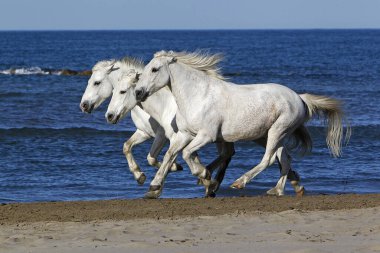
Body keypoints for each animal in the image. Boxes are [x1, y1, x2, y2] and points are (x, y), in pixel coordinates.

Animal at [79, 58, 183, 186]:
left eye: (96, 83)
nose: (83, 105)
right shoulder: (144, 133)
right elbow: (127, 147)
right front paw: (139, 175)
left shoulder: (162, 135)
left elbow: (152, 158)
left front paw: (174, 166)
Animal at [134, 50, 350, 199]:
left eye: (154, 69)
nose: (138, 92)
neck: (198, 96)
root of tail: (300, 98)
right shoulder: (184, 134)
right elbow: (170, 155)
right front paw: (153, 188)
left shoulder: (206, 135)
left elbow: (187, 154)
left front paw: (205, 176)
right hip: (275, 135)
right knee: (284, 159)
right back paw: (278, 189)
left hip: (277, 131)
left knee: (268, 159)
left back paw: (240, 182)